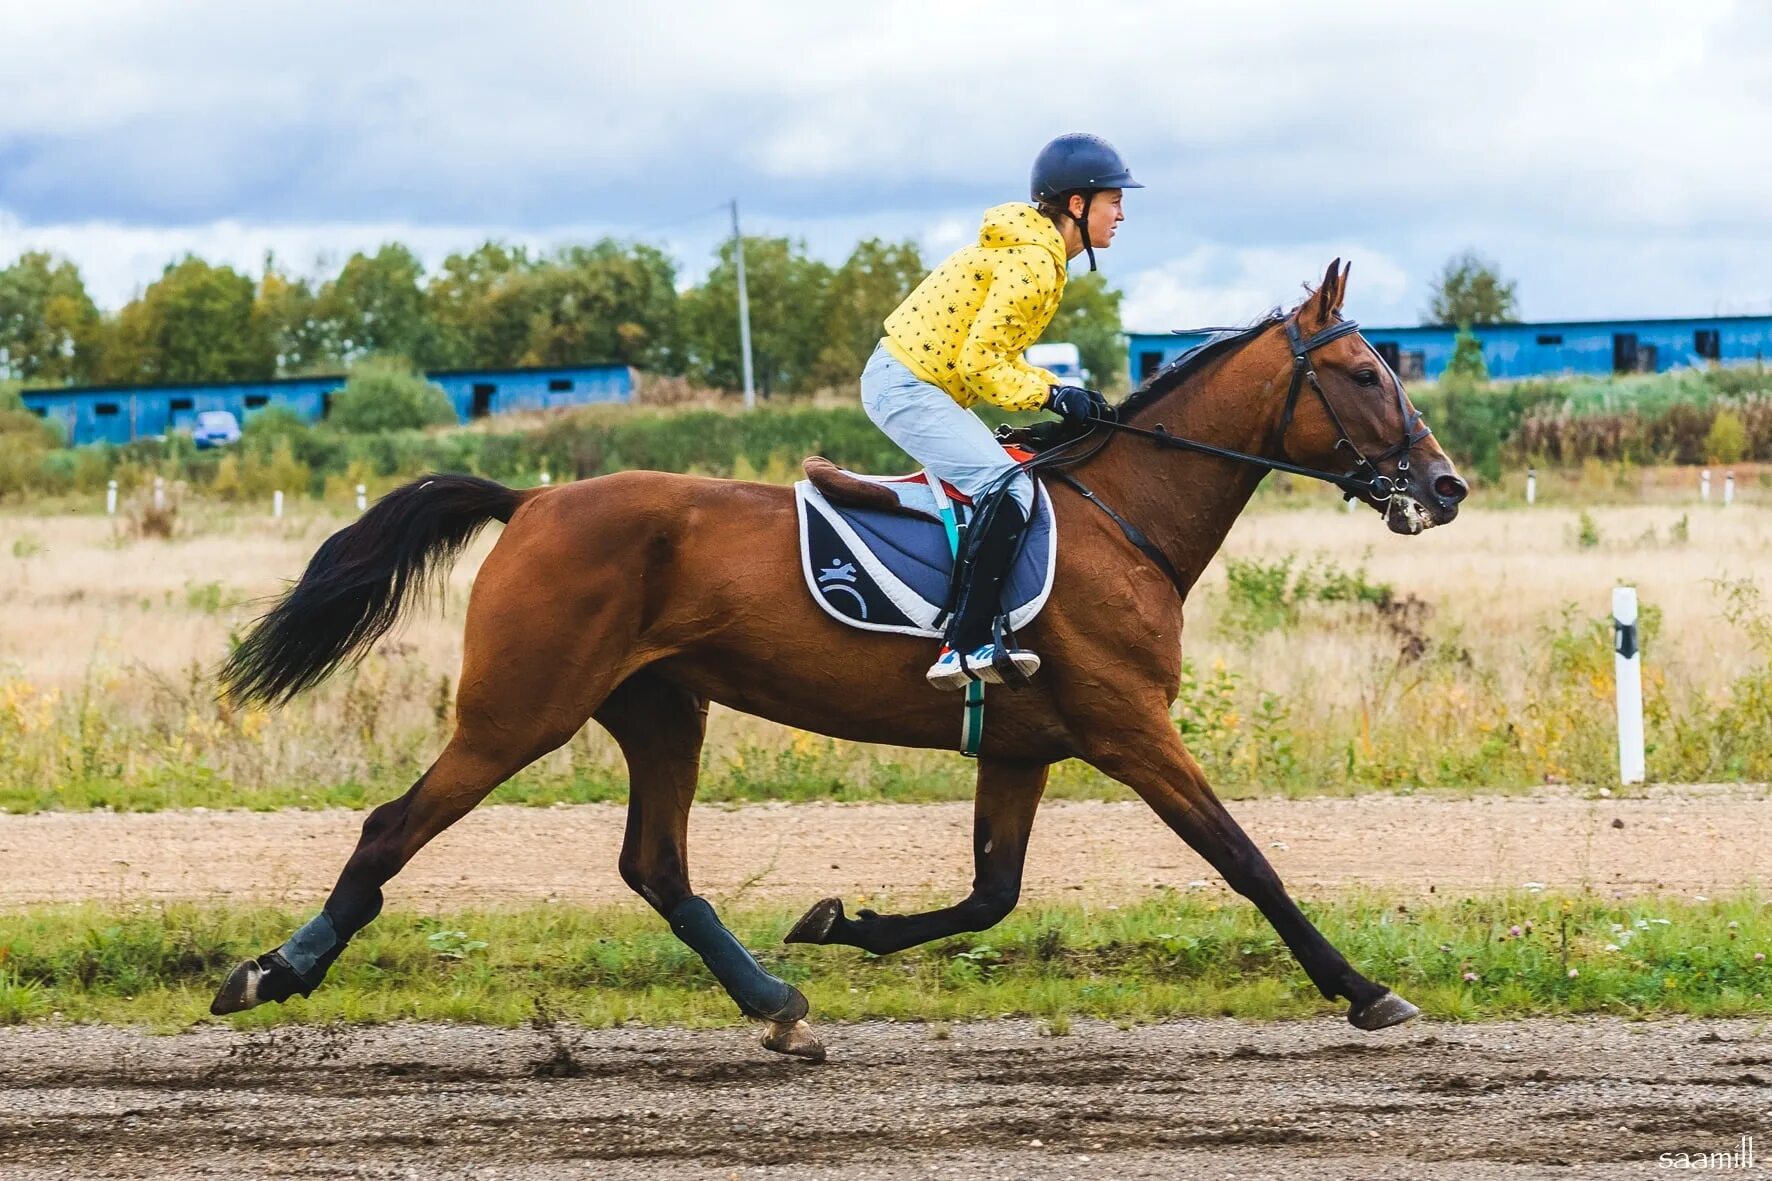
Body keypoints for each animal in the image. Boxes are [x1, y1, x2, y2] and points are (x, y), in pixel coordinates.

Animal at [207, 260, 1467, 1056]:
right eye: (1365, 372)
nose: (1445, 484)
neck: (1127, 517)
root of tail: (530, 499)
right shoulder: (1130, 728)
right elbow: (1245, 859)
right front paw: (1363, 989)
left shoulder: (1021, 747)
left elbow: (990, 894)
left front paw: (838, 922)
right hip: (521, 709)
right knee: (393, 825)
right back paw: (272, 969)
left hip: (659, 708)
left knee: (655, 865)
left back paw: (774, 999)